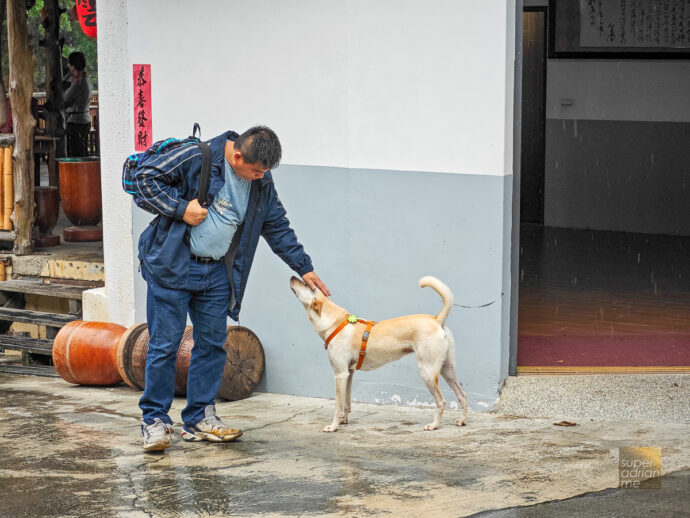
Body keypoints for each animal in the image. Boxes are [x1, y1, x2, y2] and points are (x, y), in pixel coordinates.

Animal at [288, 278, 464, 432]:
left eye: (305, 284)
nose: (292, 277)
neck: (335, 323)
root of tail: (437, 320)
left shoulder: (340, 374)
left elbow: (338, 404)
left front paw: (334, 426)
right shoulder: (349, 373)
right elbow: (347, 402)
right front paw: (344, 420)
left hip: (428, 371)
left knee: (441, 401)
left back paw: (434, 425)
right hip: (447, 369)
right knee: (462, 395)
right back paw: (462, 421)